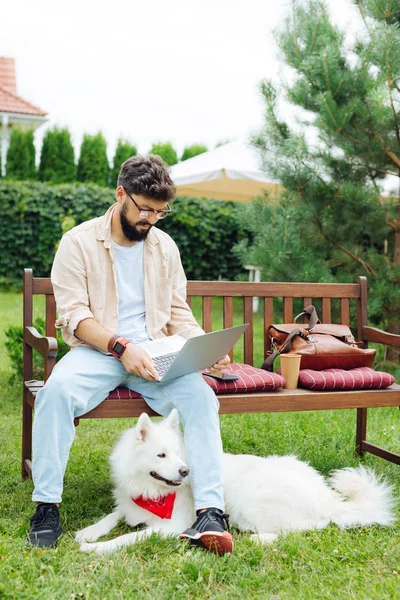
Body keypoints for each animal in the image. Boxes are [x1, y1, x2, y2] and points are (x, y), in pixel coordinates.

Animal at [76, 410, 396, 556]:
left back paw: (255, 538)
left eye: (179, 454)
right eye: (162, 455)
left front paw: (98, 548)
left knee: (305, 527)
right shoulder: (130, 504)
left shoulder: (171, 526)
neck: (152, 491)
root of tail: (325, 497)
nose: (185, 471)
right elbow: (111, 516)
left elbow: (129, 537)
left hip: (249, 497)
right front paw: (87, 533)